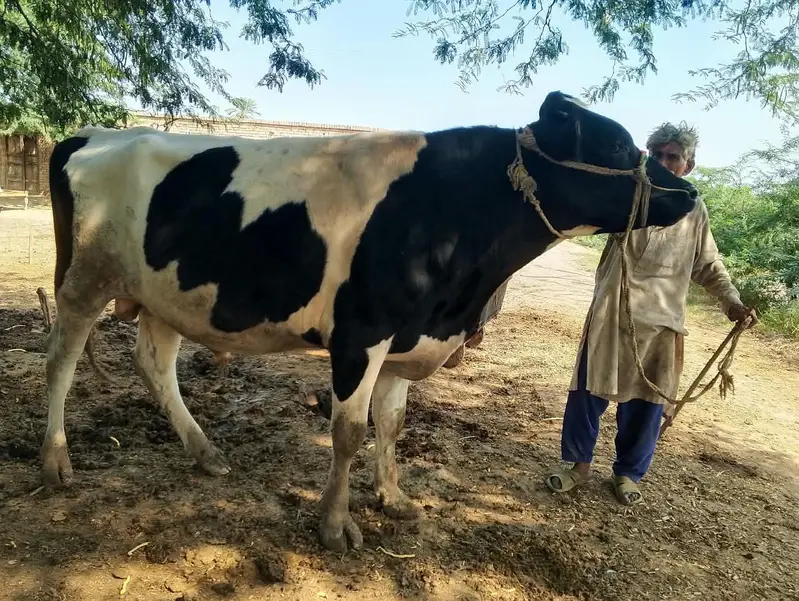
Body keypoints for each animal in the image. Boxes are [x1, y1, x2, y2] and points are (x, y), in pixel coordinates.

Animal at [41, 91, 697, 552]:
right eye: (619, 146)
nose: (689, 193)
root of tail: (95, 134)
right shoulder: (361, 334)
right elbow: (349, 431)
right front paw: (335, 525)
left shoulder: (409, 341)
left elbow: (393, 423)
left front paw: (393, 496)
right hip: (83, 280)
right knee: (60, 362)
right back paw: (56, 461)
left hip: (166, 294)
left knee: (155, 366)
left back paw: (205, 453)